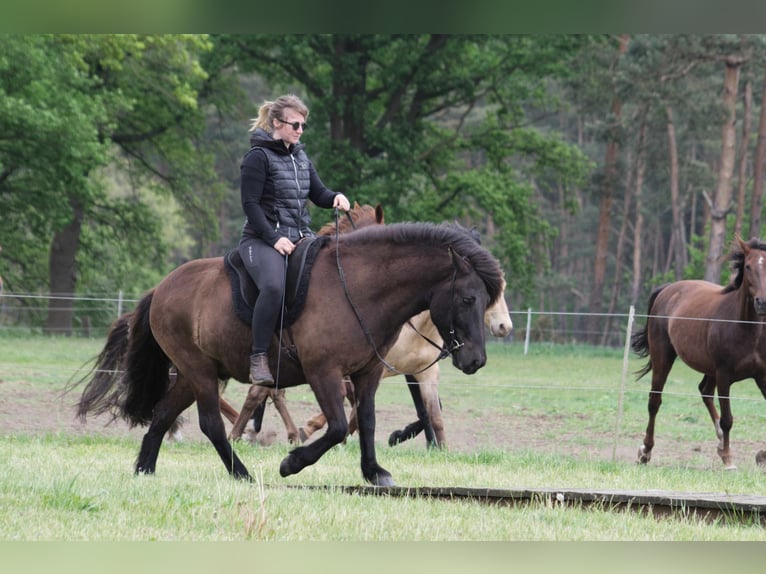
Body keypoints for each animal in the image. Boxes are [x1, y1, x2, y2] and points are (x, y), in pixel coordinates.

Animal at [73, 220, 504, 486]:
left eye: (486, 299)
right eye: (468, 298)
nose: (476, 360)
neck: (359, 289)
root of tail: (162, 287)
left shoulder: (367, 373)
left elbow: (365, 422)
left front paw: (373, 471)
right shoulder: (324, 372)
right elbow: (336, 427)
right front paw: (292, 462)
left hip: (197, 374)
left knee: (163, 415)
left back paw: (145, 470)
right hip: (199, 373)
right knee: (211, 424)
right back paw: (242, 474)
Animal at [636, 236, 766, 470]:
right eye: (748, 267)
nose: (762, 302)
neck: (747, 328)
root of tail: (668, 289)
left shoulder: (762, 375)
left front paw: (761, 455)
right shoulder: (724, 375)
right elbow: (728, 419)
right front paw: (729, 460)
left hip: (709, 368)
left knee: (704, 391)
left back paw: (720, 442)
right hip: (664, 358)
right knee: (654, 401)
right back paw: (645, 452)